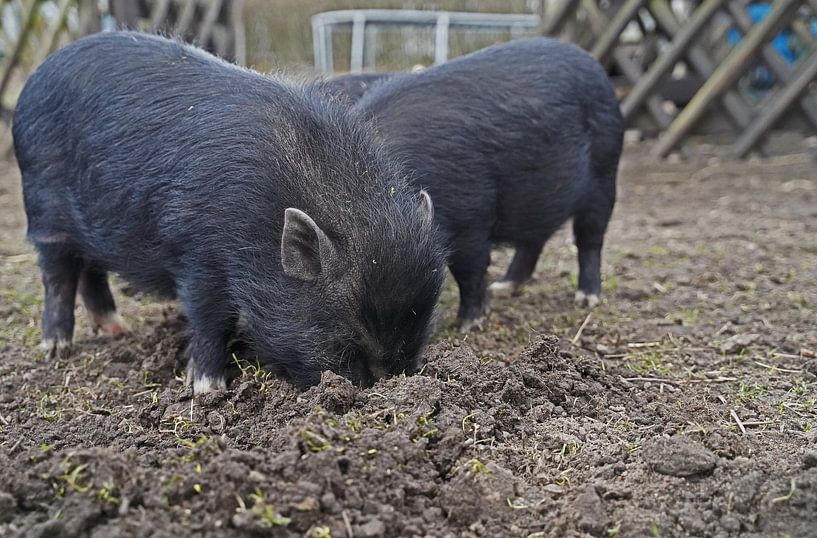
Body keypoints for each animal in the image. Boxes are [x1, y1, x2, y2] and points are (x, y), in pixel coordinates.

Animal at [14, 34, 446, 394]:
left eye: (422, 327)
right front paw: (208, 389)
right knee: (58, 275)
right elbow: (209, 317)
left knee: (91, 270)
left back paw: (119, 330)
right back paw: (56, 348)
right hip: (44, 208)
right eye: (344, 341)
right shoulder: (198, 254)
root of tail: (36, 78)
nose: (385, 386)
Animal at [354, 38, 620, 326]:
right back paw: (503, 288)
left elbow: (469, 269)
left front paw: (468, 324)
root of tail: (595, 65)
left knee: (590, 239)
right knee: (533, 240)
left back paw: (586, 299)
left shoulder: (471, 212)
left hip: (605, 172)